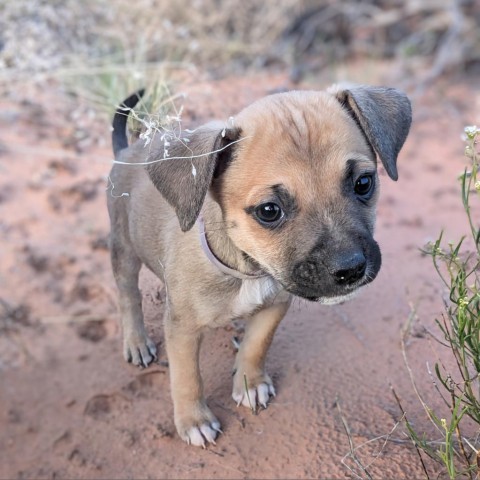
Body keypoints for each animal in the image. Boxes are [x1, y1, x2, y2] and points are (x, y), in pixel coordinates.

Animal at [108, 84, 412, 448]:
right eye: (269, 211)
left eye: (364, 183)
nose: (350, 268)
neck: (247, 270)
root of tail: (128, 150)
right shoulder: (182, 328)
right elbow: (187, 378)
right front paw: (194, 420)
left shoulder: (276, 305)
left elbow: (257, 346)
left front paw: (250, 383)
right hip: (124, 250)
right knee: (128, 297)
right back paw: (136, 342)